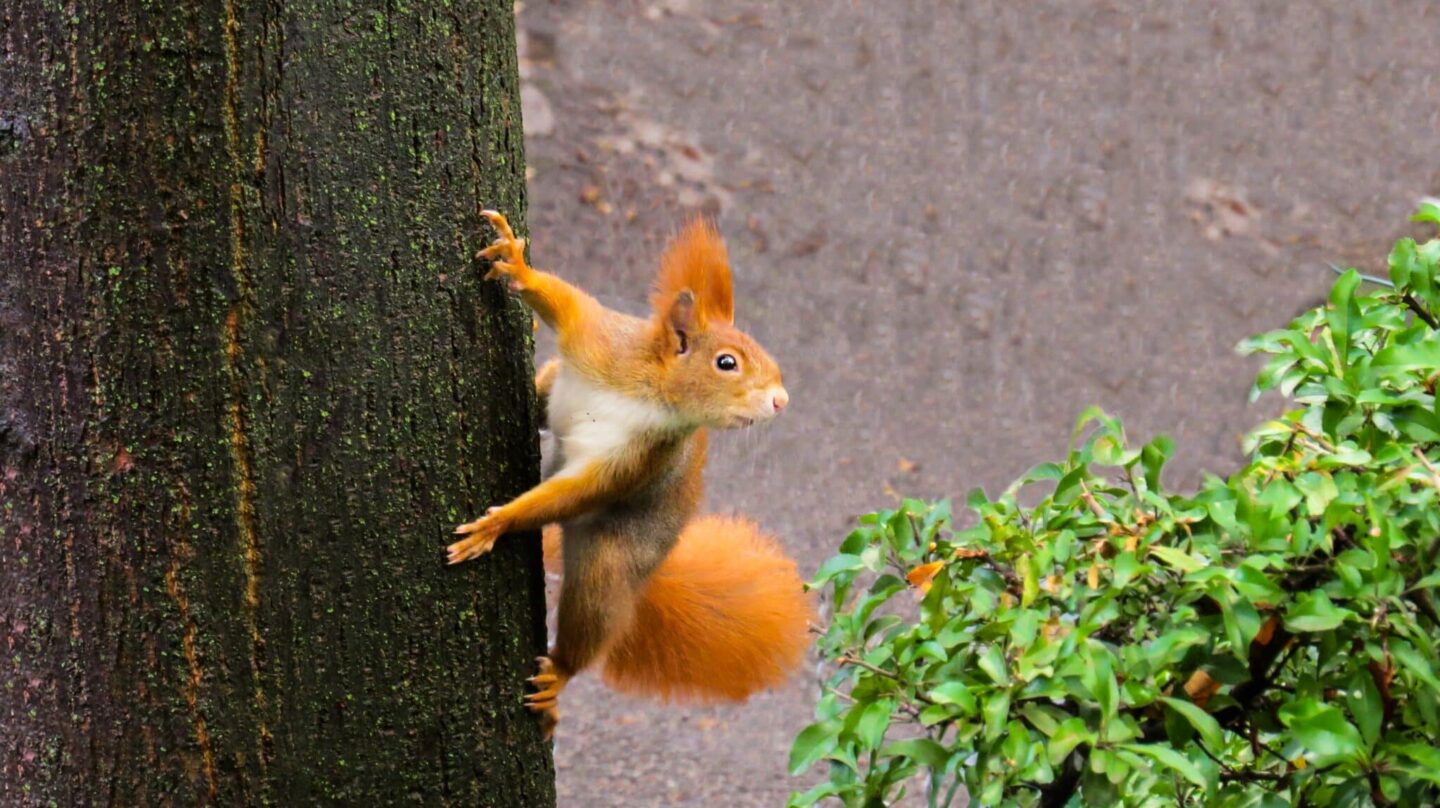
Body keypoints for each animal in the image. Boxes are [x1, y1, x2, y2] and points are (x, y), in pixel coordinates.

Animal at [449, 208, 812, 737]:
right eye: (726, 363)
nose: (781, 401)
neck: (652, 394)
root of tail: (653, 569)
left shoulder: (639, 458)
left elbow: (579, 491)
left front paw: (498, 523)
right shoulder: (601, 342)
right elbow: (568, 304)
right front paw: (518, 265)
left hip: (609, 564)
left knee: (589, 624)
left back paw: (558, 675)